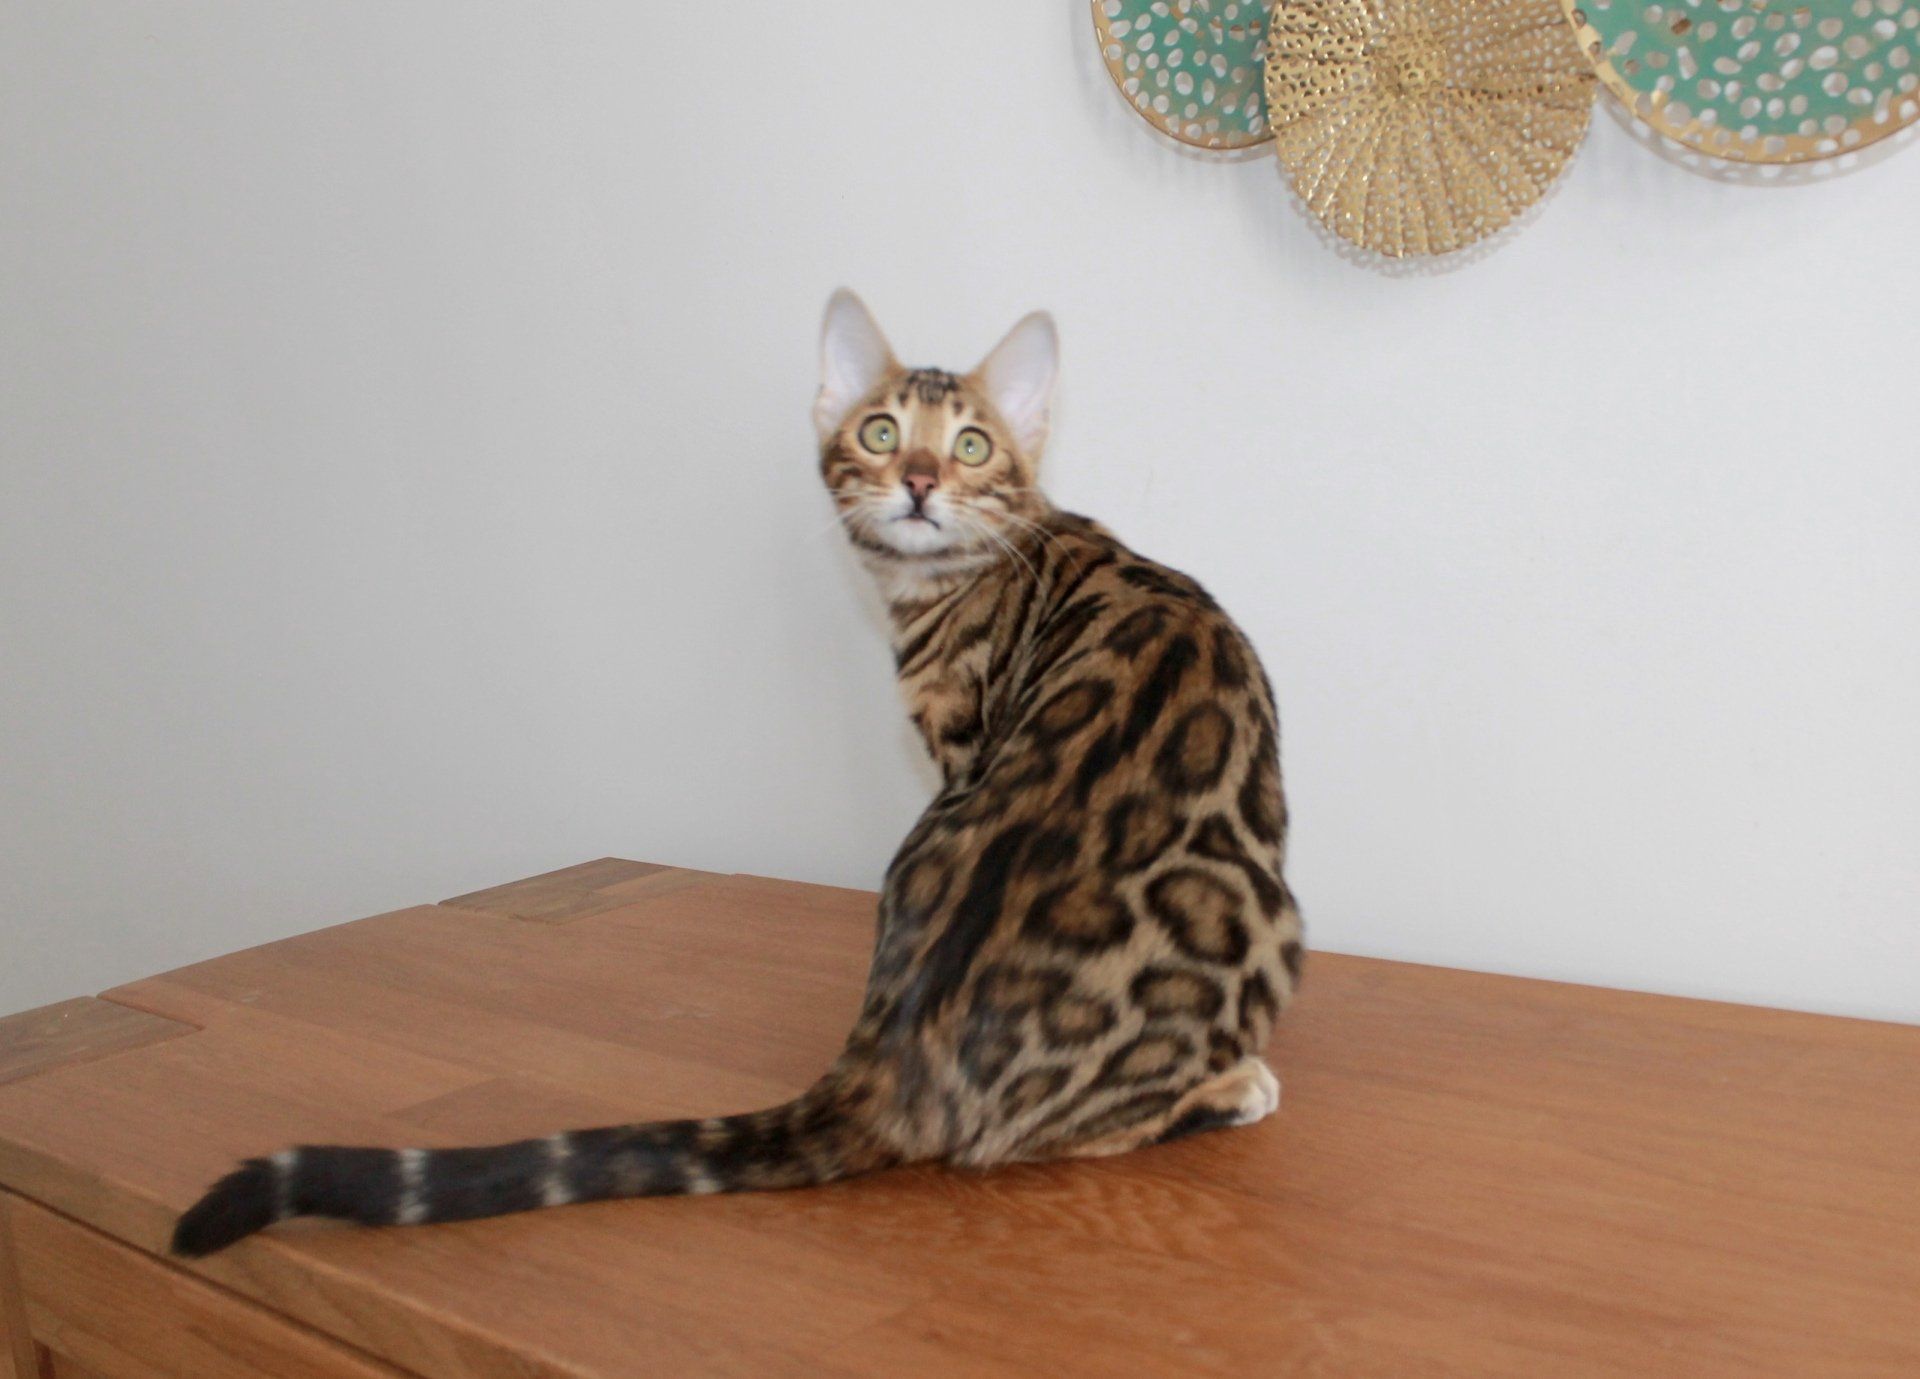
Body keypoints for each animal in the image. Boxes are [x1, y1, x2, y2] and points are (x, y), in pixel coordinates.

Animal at [171, 290, 1303, 1256]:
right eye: (881, 432)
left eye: (971, 443)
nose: (921, 481)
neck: (963, 571)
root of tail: (890, 1057)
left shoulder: (956, 751)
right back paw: (1231, 1084)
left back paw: (1234, 1084)